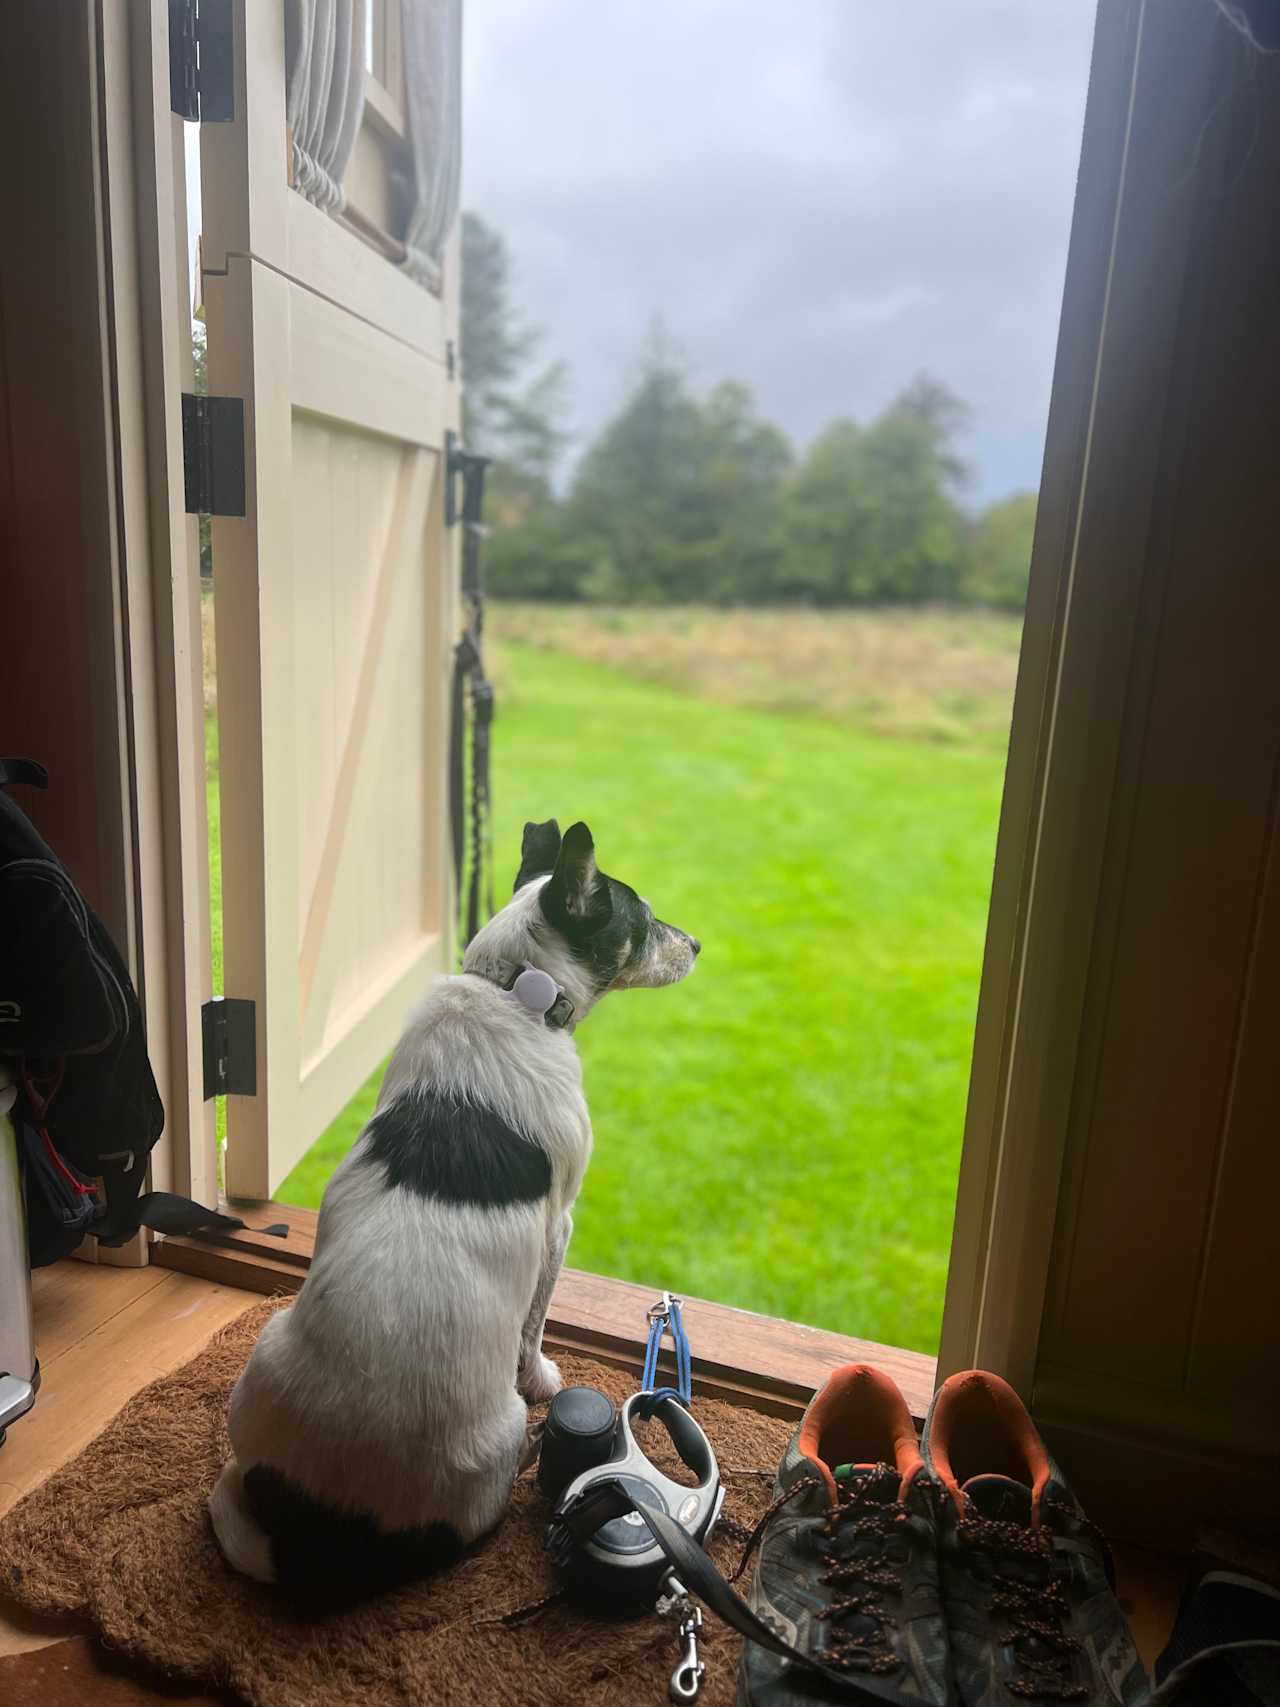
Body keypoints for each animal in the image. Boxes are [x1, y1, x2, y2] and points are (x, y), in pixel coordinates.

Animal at [210, 819, 703, 1590]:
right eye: (645, 921)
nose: (700, 945)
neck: (516, 991)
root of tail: (320, 1535)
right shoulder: (559, 1227)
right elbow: (534, 1330)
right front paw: (545, 1379)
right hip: (492, 1441)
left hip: (262, 1356)